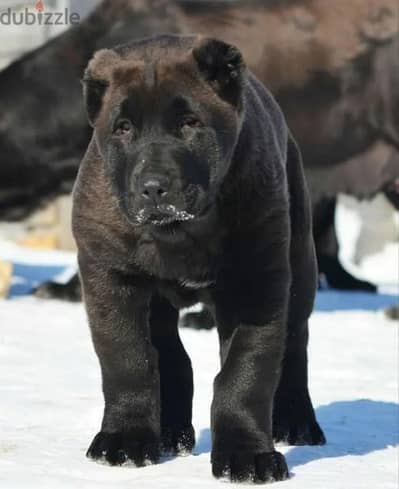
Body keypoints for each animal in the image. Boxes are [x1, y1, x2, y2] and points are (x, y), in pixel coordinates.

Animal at [73, 33, 324, 480]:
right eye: (123, 128)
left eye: (190, 123)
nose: (153, 187)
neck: (179, 232)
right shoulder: (110, 275)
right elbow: (128, 359)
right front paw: (125, 441)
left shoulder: (256, 285)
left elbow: (245, 373)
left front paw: (247, 456)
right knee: (170, 355)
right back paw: (170, 434)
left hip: (300, 266)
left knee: (295, 344)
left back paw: (296, 422)